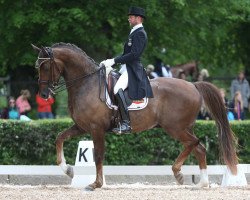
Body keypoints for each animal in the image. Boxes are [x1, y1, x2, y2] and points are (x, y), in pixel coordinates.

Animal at [32, 43, 237, 190]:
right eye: (38, 66)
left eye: (45, 66)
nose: (43, 94)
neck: (86, 83)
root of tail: (193, 85)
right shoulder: (82, 126)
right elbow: (59, 138)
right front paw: (68, 170)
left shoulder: (96, 129)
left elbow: (98, 155)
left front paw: (96, 184)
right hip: (184, 127)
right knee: (198, 148)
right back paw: (201, 182)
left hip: (175, 128)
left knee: (194, 143)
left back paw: (178, 173)